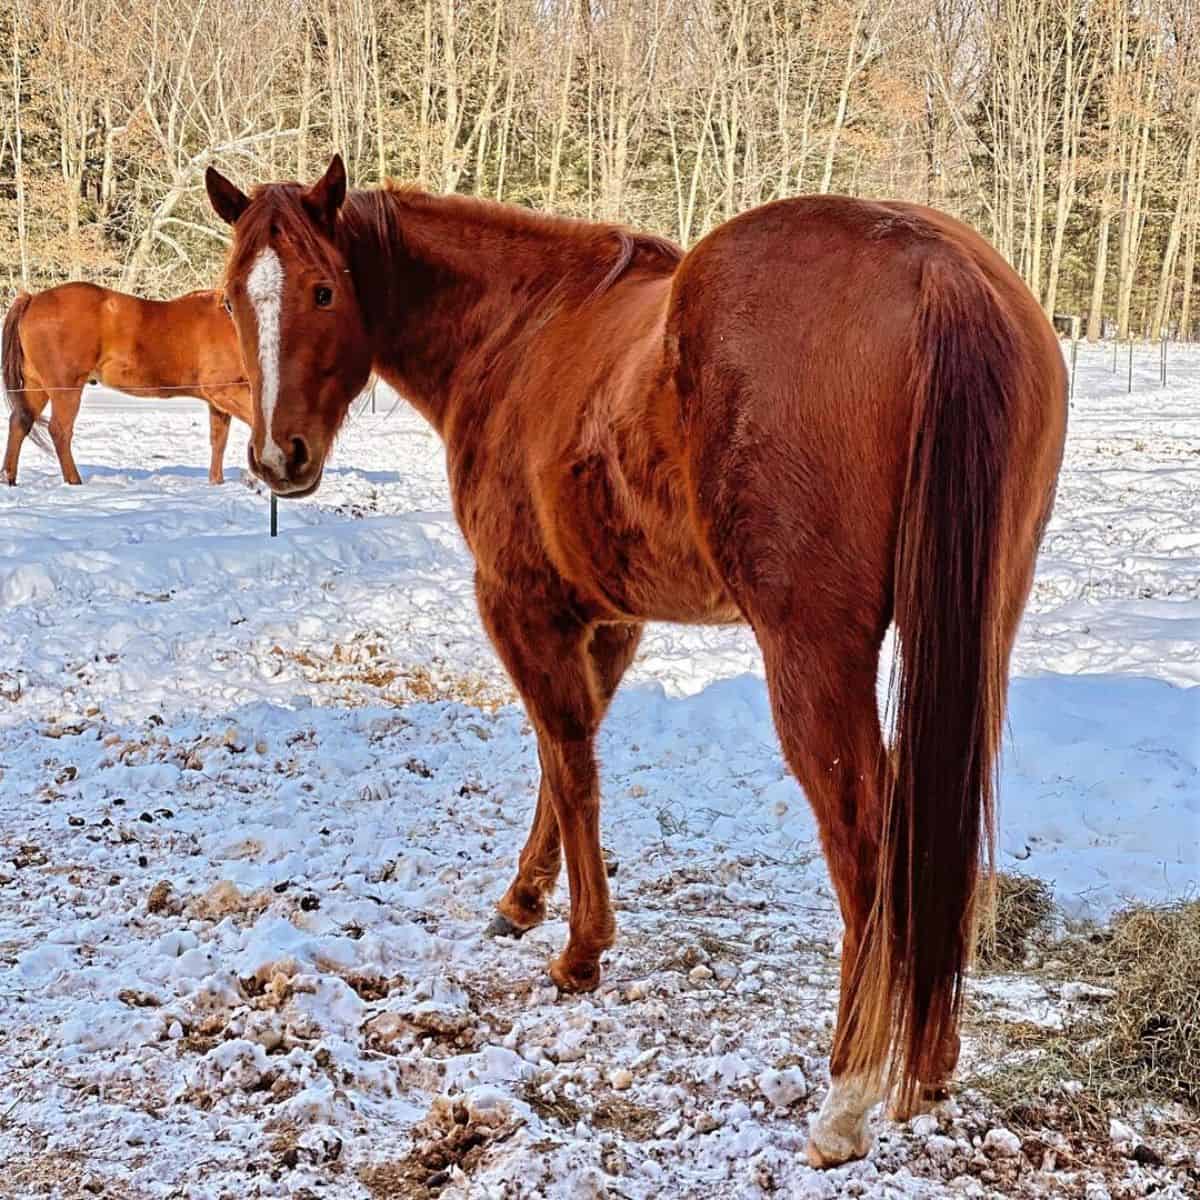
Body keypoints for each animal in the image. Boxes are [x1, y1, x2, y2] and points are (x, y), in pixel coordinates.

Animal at [2, 284, 251, 486]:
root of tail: (32, 299)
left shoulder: (218, 402)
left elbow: (218, 441)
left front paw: (217, 483)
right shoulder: (223, 390)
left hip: (37, 387)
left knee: (20, 422)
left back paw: (9, 478)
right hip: (66, 389)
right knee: (59, 431)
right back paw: (74, 481)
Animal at [205, 155, 1067, 1167]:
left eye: (324, 289)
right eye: (232, 298)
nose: (277, 457)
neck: (523, 328)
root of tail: (938, 269)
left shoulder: (518, 603)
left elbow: (569, 760)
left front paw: (579, 950)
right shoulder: (608, 621)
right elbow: (563, 758)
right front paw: (524, 901)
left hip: (815, 660)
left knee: (868, 847)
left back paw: (847, 1096)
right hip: (976, 638)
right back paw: (928, 1066)